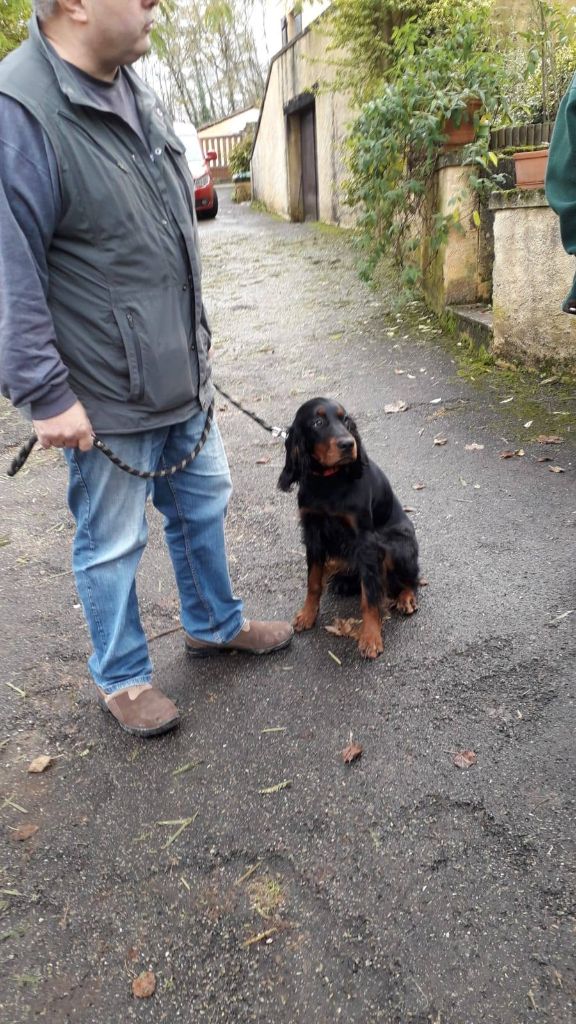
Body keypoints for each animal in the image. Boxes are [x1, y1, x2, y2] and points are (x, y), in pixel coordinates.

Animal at [278, 395, 416, 659]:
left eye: (346, 420)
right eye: (318, 422)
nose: (348, 444)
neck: (328, 482)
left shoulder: (366, 541)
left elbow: (369, 596)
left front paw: (370, 637)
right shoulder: (313, 532)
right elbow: (313, 582)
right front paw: (307, 615)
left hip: (396, 546)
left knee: (411, 579)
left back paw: (406, 598)